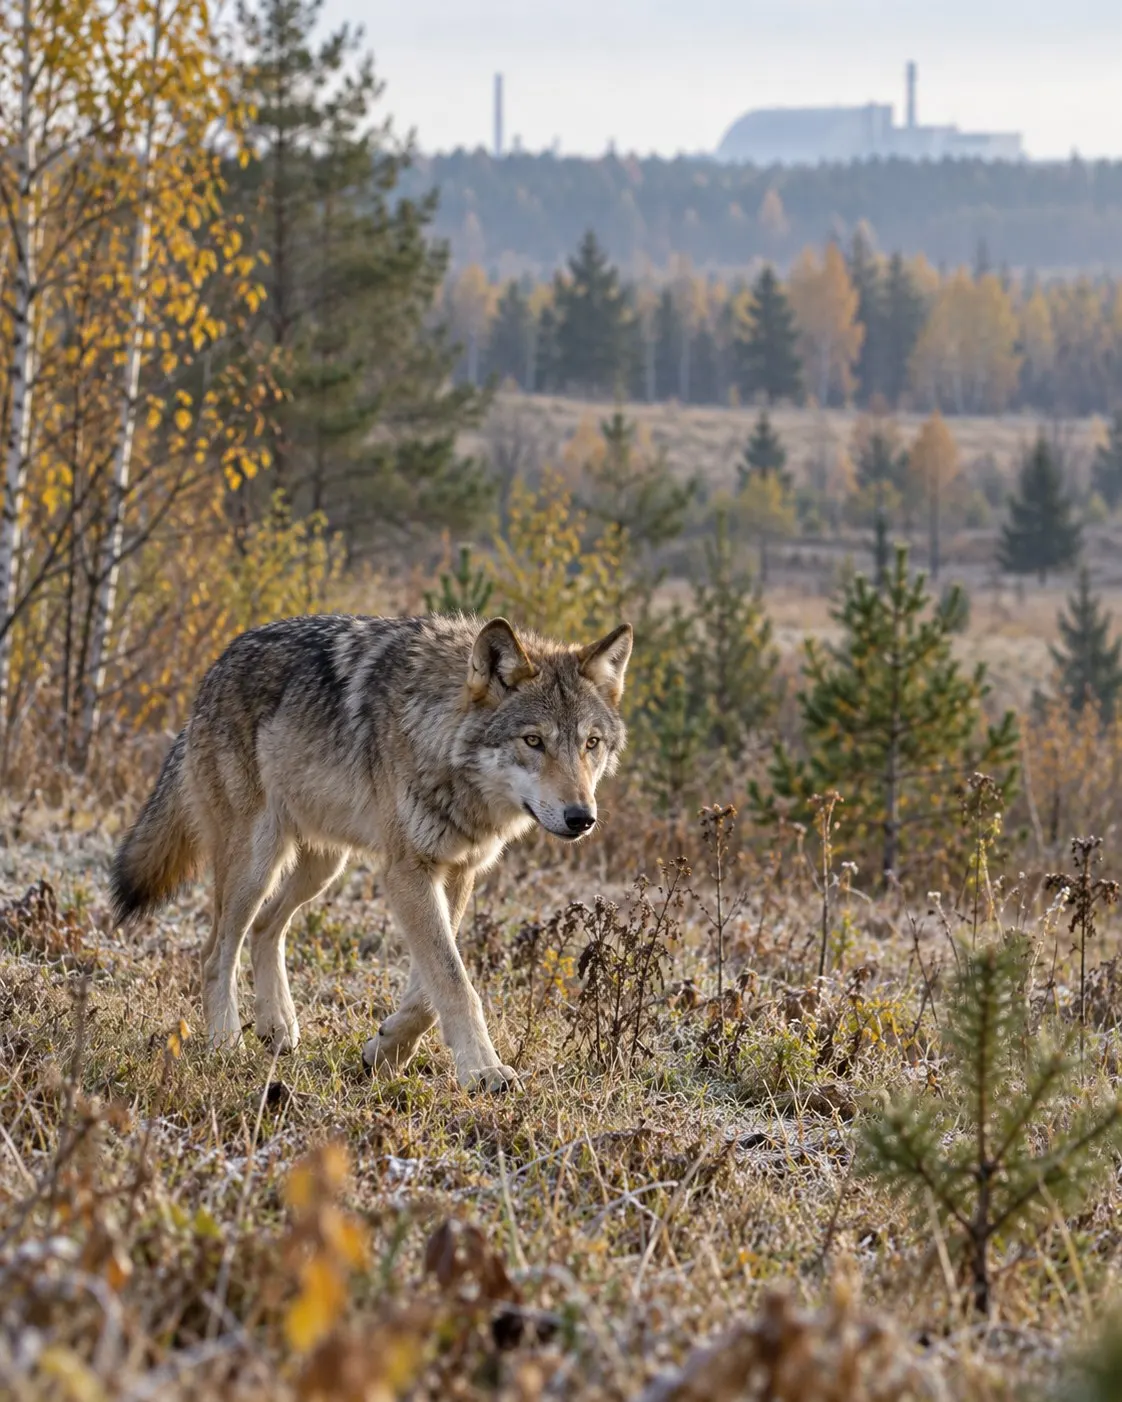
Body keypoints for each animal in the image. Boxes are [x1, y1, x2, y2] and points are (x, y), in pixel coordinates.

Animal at [110, 613, 632, 1091]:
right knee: (215, 950)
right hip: (254, 865)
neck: (437, 732)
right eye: (533, 741)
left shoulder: (457, 872)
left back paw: (277, 1027)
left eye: (591, 743)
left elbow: (429, 991)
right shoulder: (408, 872)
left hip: (321, 867)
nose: (581, 817)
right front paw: (484, 1071)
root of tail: (215, 668)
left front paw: (385, 1052)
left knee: (265, 928)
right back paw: (225, 1043)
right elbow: (454, 983)